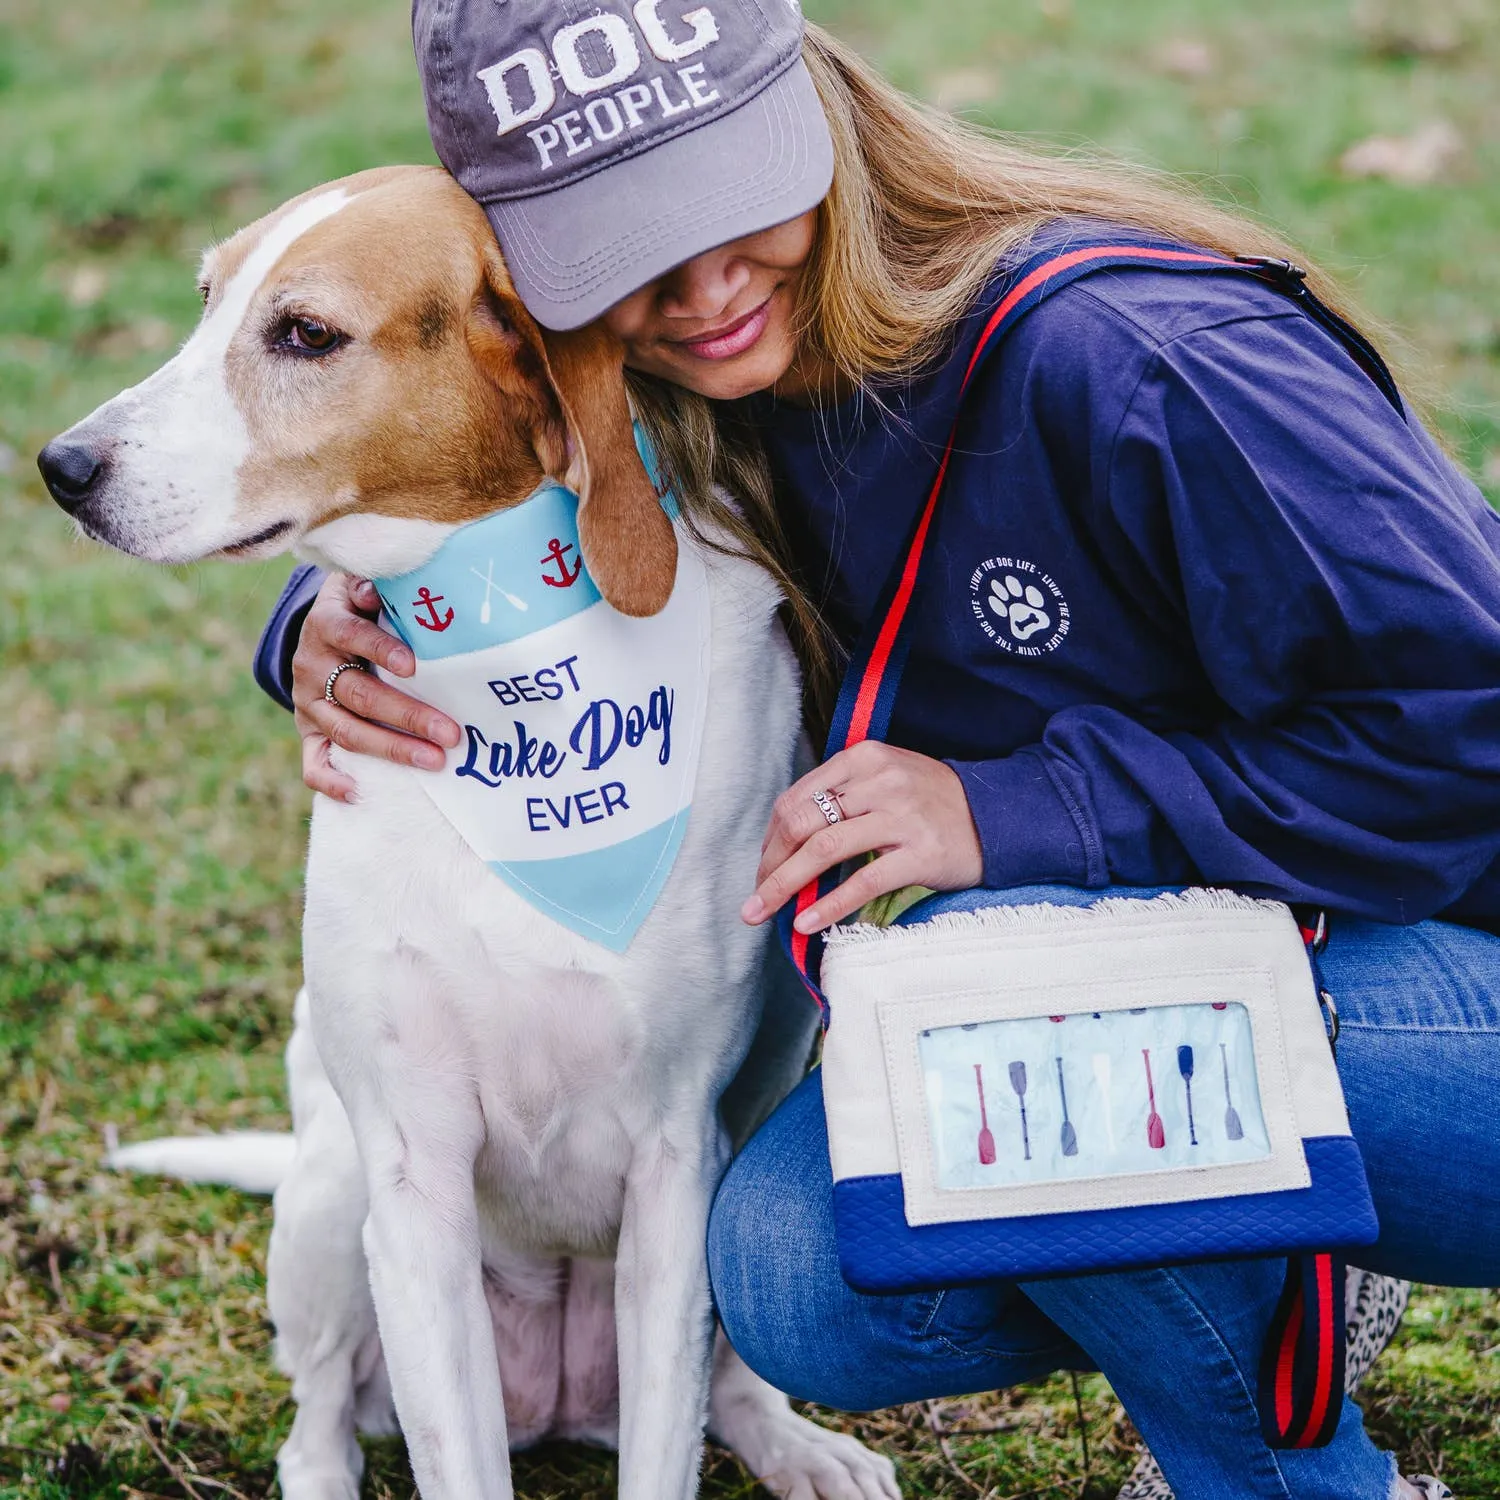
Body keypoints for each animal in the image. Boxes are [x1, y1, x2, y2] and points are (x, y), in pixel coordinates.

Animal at [38, 164, 900, 1500]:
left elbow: (667, 1438)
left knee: (723, 1386)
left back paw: (799, 1447)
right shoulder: (412, 1176)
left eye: (306, 333)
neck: (507, 651)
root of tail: (558, 1409)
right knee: (316, 1418)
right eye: (205, 298)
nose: (61, 465)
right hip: (335, 1196)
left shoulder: (674, 1163)